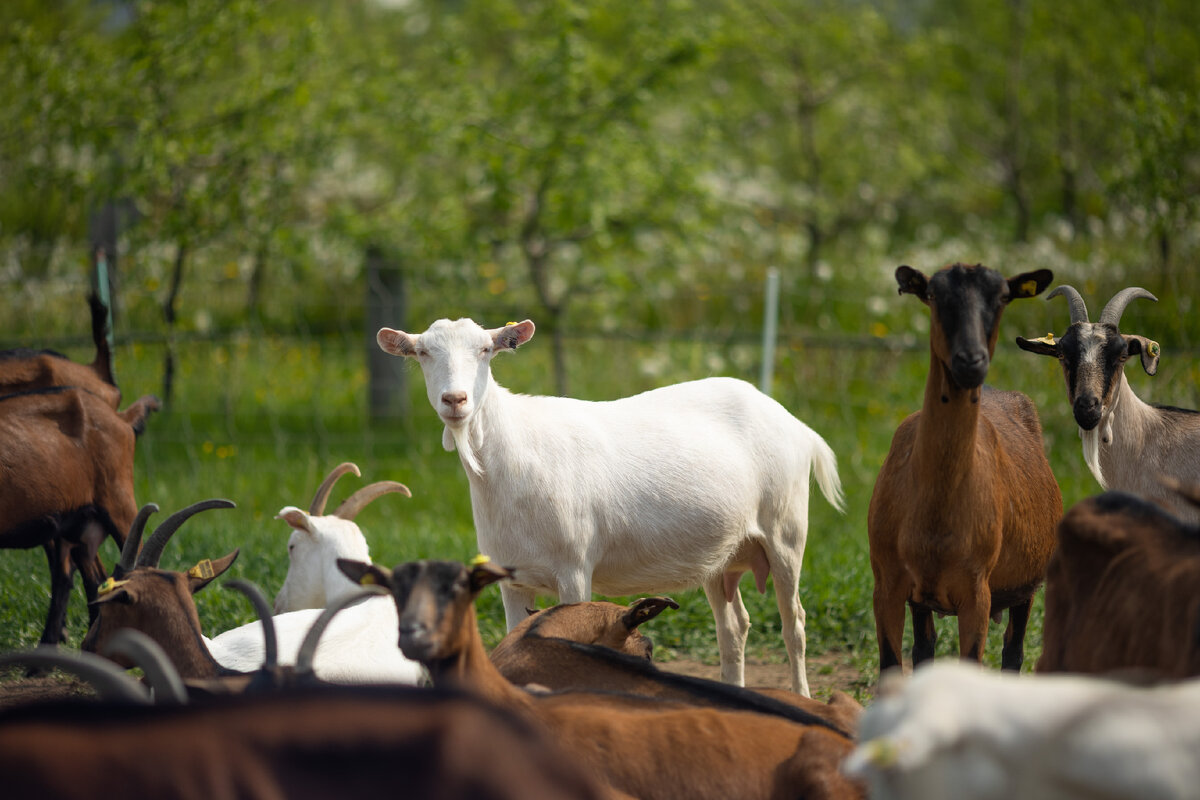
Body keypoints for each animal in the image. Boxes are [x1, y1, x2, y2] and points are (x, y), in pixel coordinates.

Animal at [374, 316, 844, 695]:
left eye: (486, 350)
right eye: (422, 352)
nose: (455, 400)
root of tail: (797, 425)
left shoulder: (574, 567)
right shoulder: (511, 576)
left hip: (786, 528)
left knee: (794, 623)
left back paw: (802, 694)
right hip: (721, 552)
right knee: (734, 627)